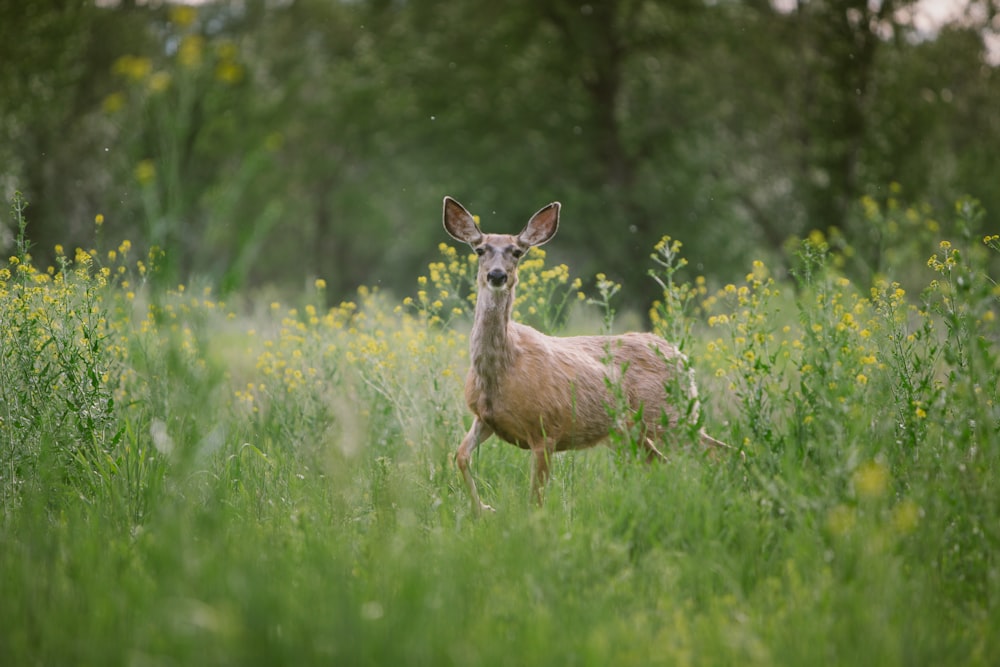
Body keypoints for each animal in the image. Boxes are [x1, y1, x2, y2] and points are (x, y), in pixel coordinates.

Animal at [444, 194, 728, 516]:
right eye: (480, 250)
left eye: (516, 252)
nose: (496, 275)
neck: (503, 370)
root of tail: (681, 358)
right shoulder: (485, 418)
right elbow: (460, 455)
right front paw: (484, 509)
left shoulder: (546, 428)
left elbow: (535, 499)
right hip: (631, 431)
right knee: (663, 462)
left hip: (671, 416)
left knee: (719, 452)